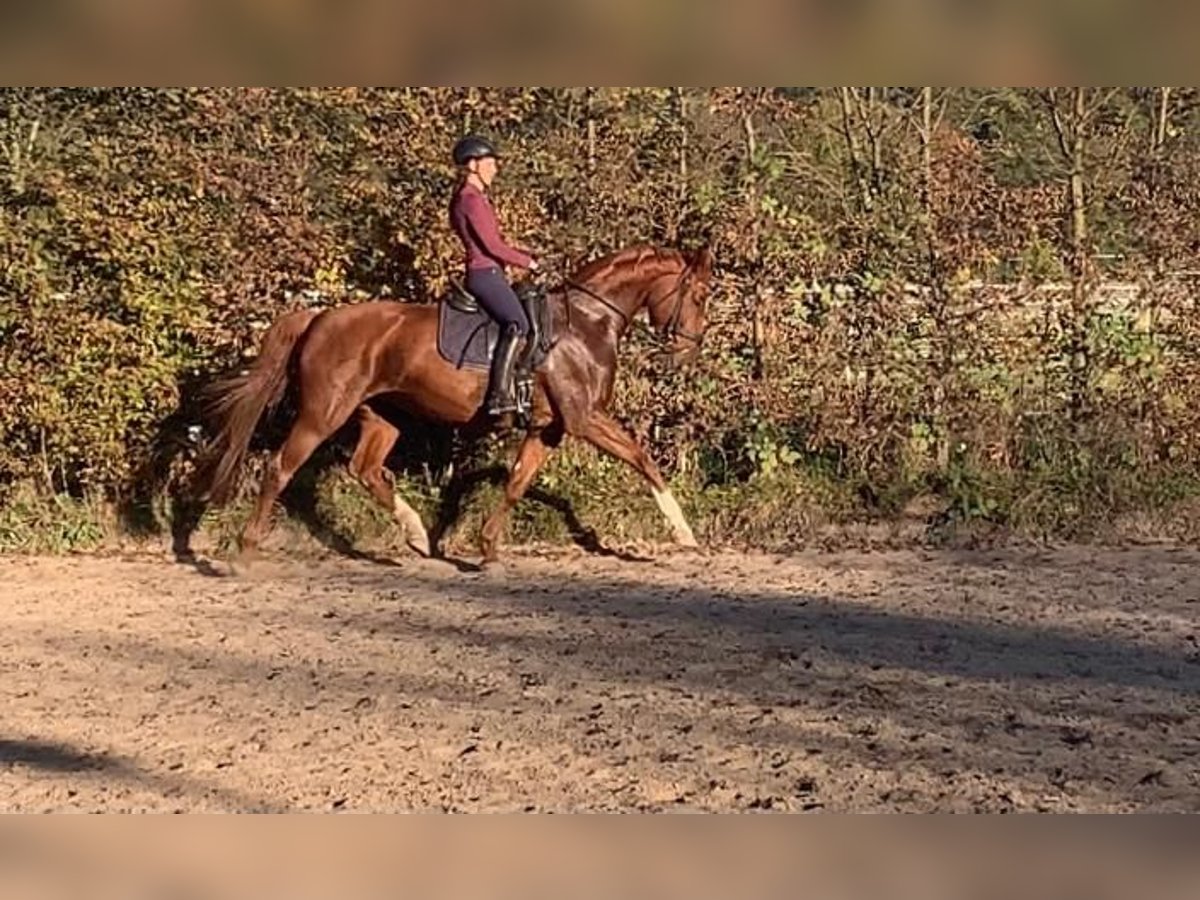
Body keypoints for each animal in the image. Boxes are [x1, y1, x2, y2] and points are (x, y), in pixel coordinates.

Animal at [196, 243, 710, 561]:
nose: (688, 350)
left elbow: (517, 483)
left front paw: (486, 547)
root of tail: (319, 317)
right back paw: (247, 550)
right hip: (322, 413)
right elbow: (642, 458)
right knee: (280, 467)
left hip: (382, 416)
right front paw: (684, 533)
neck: (585, 322)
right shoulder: (584, 419)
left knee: (366, 470)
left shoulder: (548, 427)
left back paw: (417, 535)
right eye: (699, 295)